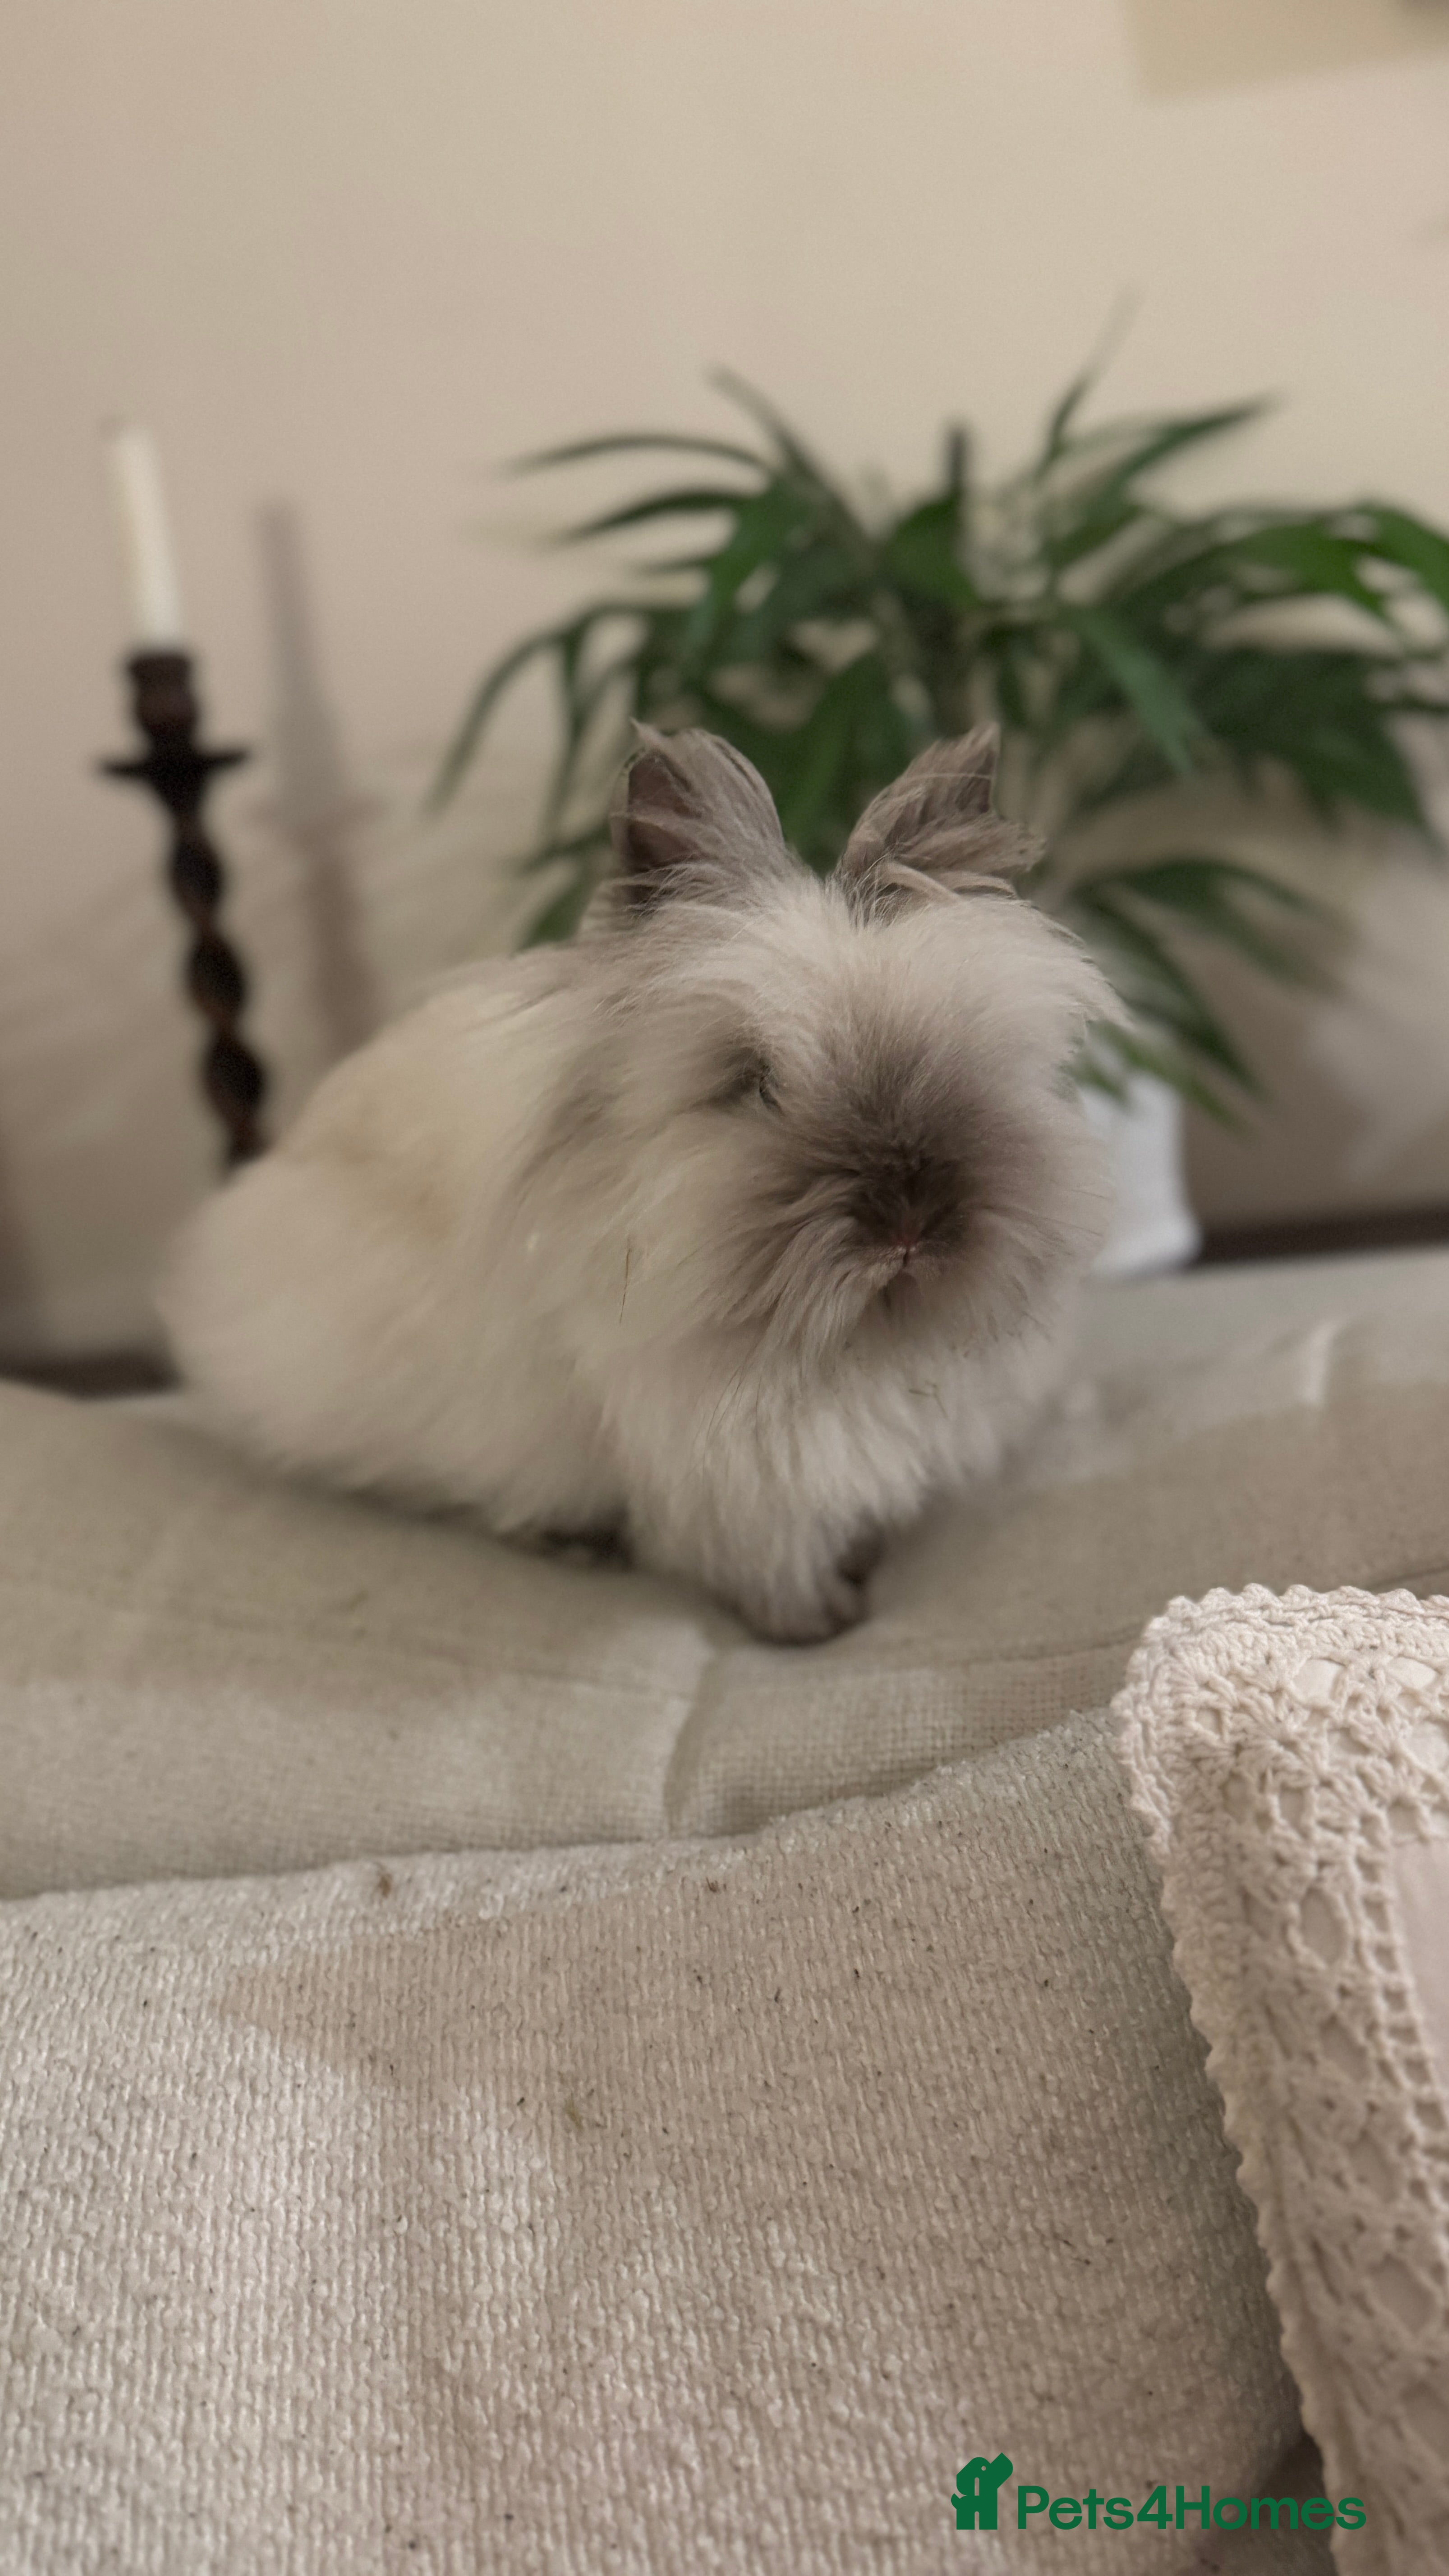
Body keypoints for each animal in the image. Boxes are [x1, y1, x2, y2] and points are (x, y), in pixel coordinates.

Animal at [159, 722, 1117, 1643]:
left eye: (963, 1063)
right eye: (754, 1084)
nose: (908, 1225)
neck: (848, 1345)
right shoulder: (733, 1476)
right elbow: (771, 1558)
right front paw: (811, 1626)